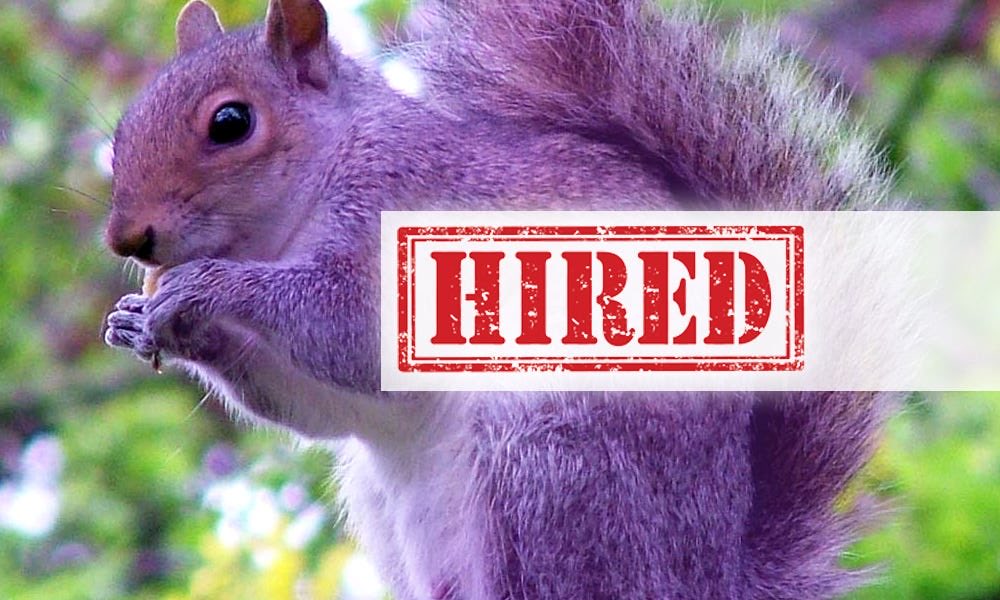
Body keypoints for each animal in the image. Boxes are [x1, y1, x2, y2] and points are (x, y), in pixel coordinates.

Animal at [103, 0, 895, 598]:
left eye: (231, 123)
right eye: (122, 131)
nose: (125, 238)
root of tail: (711, 578)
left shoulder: (403, 219)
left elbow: (351, 332)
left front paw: (207, 287)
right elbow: (329, 406)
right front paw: (141, 323)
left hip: (552, 469)